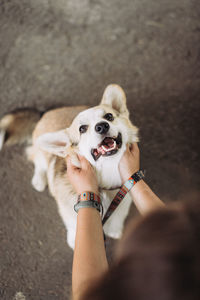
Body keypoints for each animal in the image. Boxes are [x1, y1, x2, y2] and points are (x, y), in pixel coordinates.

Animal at [0, 84, 138, 248]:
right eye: (82, 129)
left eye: (109, 116)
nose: (102, 126)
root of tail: (44, 113)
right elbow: (74, 227)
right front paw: (74, 240)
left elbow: (117, 219)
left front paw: (115, 230)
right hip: (41, 151)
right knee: (37, 160)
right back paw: (39, 180)